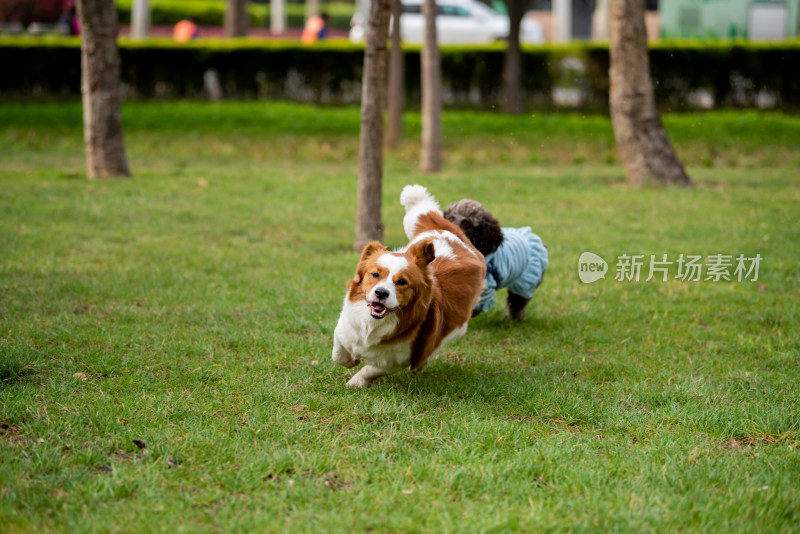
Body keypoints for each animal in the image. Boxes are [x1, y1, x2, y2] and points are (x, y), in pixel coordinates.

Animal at [332, 186, 488, 388]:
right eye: (375, 274)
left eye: (402, 282)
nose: (381, 293)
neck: (373, 324)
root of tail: (446, 231)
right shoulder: (344, 327)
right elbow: (338, 353)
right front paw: (351, 360)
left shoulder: (398, 359)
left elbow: (370, 369)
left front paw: (356, 382)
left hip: (458, 326)